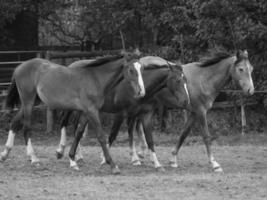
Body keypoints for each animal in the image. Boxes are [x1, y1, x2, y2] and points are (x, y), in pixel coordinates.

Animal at [0, 50, 147, 174]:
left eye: (142, 69)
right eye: (131, 69)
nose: (141, 92)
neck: (95, 79)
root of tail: (19, 67)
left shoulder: (86, 112)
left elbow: (78, 133)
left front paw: (72, 160)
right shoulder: (92, 111)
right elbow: (101, 136)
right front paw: (113, 165)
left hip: (32, 102)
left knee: (14, 123)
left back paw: (5, 154)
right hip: (28, 101)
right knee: (26, 128)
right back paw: (34, 159)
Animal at [56, 55, 191, 170]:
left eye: (186, 80)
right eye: (178, 80)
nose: (186, 101)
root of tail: (71, 65)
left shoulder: (145, 115)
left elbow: (149, 139)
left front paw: (157, 164)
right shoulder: (121, 114)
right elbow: (113, 135)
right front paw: (105, 159)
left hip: (84, 111)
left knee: (77, 130)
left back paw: (77, 157)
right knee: (64, 122)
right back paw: (60, 151)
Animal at [107, 49, 255, 172]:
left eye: (251, 69)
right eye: (241, 69)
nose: (250, 90)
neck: (204, 79)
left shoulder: (193, 113)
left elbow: (184, 134)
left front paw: (173, 160)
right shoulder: (201, 112)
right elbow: (206, 136)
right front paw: (214, 164)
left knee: (137, 126)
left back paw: (141, 154)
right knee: (131, 127)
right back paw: (135, 157)